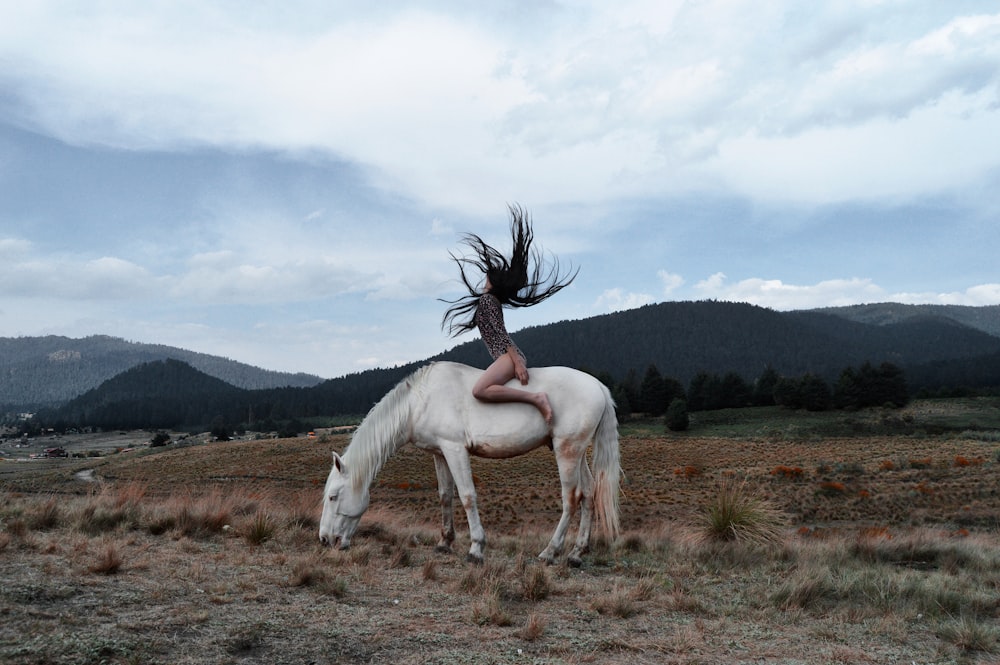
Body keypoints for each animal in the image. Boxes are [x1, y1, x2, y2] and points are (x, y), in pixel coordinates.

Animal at [320, 360, 616, 564]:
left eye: (333, 497)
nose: (324, 539)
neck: (419, 402)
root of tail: (598, 386)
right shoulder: (439, 452)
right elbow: (445, 496)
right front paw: (444, 542)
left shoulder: (455, 449)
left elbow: (467, 496)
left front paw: (476, 549)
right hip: (577, 453)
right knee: (589, 494)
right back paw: (577, 554)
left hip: (567, 451)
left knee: (571, 498)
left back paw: (549, 552)